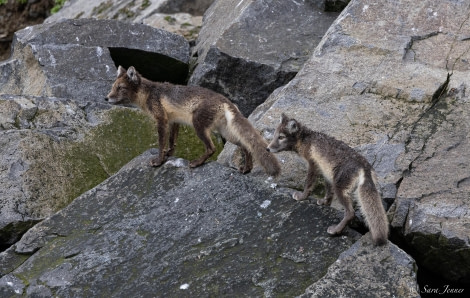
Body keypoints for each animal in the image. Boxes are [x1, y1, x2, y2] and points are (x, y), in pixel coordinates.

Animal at [105, 66, 280, 175]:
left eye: (120, 88)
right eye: (113, 87)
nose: (106, 98)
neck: (149, 94)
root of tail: (226, 101)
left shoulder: (161, 120)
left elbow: (161, 143)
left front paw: (159, 161)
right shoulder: (173, 121)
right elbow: (172, 142)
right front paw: (169, 154)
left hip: (199, 126)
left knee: (212, 148)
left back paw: (196, 163)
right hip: (226, 133)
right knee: (246, 146)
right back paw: (246, 169)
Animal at [268, 113, 390, 246]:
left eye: (281, 137)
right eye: (274, 135)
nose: (267, 148)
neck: (307, 139)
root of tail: (365, 167)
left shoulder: (313, 164)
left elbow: (308, 183)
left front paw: (301, 196)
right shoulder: (325, 171)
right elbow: (328, 190)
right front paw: (324, 202)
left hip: (340, 187)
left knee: (350, 213)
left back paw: (336, 230)